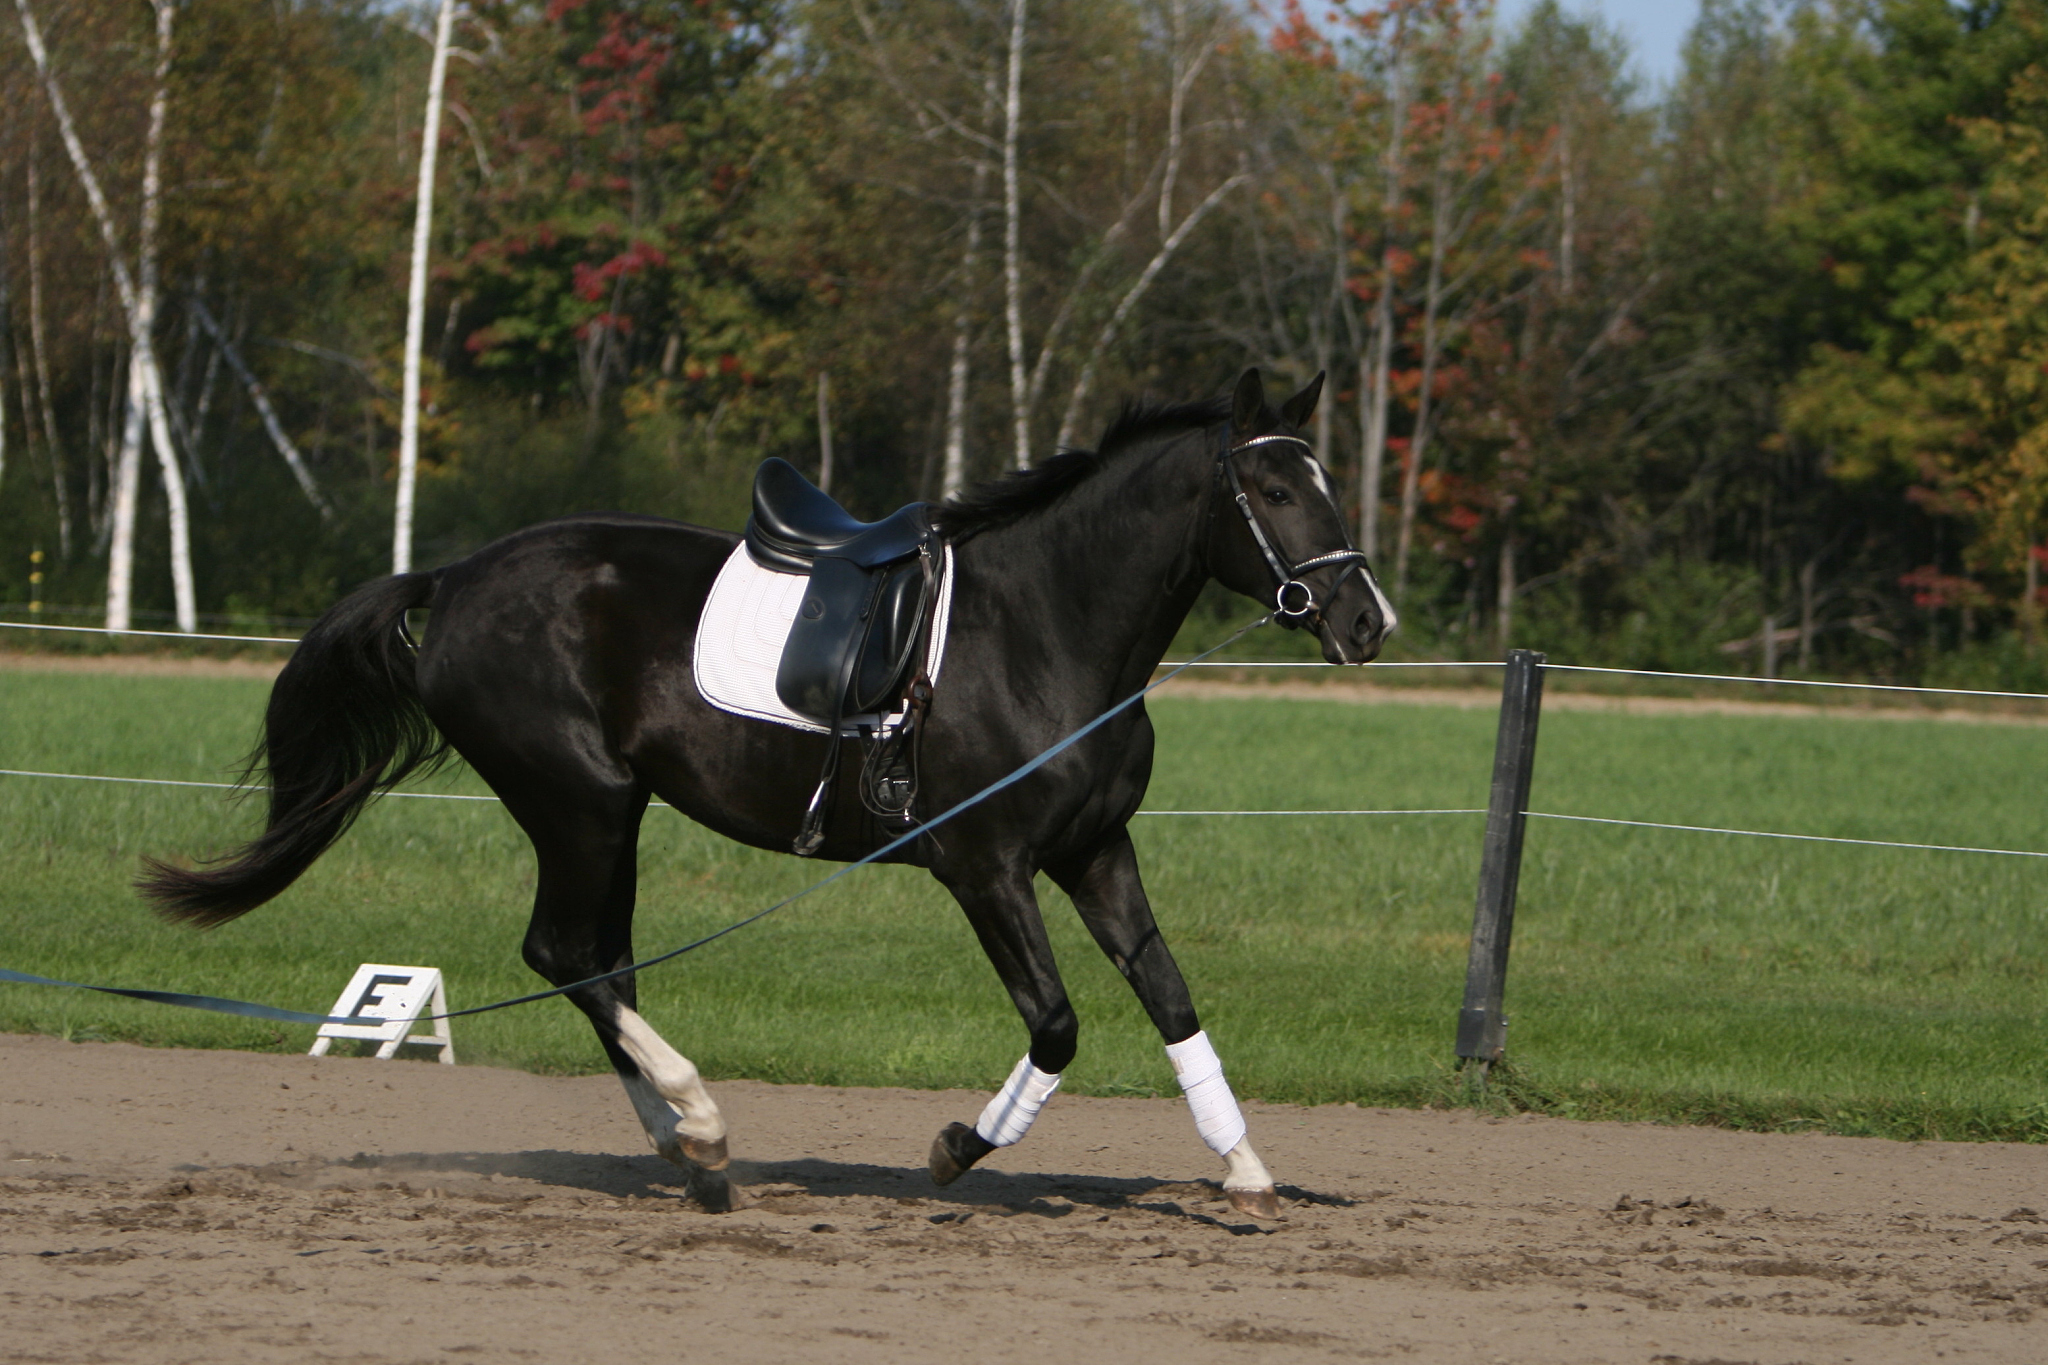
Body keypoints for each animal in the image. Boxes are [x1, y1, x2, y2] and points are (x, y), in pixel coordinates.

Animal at [140, 368, 1395, 1218]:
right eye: (1273, 485)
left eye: (1323, 480)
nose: (1364, 620)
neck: (1040, 632)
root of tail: (452, 577)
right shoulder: (985, 867)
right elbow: (1056, 1024)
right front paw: (956, 1149)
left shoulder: (1096, 854)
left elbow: (1174, 1005)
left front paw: (1244, 1168)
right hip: (580, 801)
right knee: (566, 954)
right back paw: (697, 1119)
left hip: (610, 815)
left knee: (600, 964)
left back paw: (690, 1154)